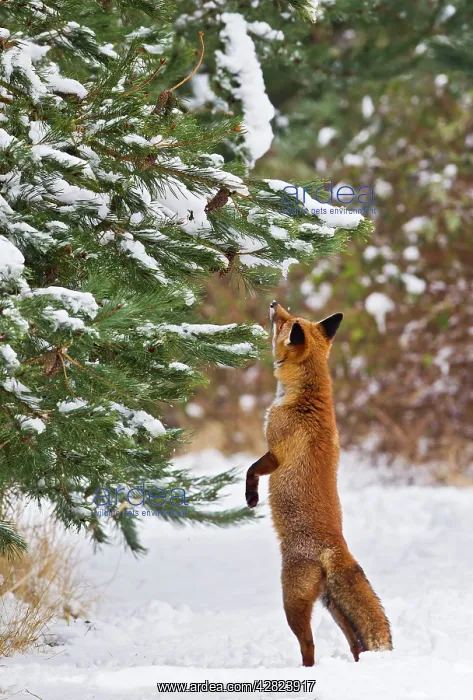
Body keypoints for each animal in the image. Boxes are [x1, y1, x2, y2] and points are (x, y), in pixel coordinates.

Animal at [245, 300, 392, 666]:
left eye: (283, 322)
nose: (273, 303)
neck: (303, 396)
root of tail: (336, 546)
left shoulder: (275, 453)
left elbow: (251, 470)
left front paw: (251, 498)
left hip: (293, 601)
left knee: (309, 645)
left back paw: (306, 670)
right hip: (331, 605)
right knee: (356, 643)